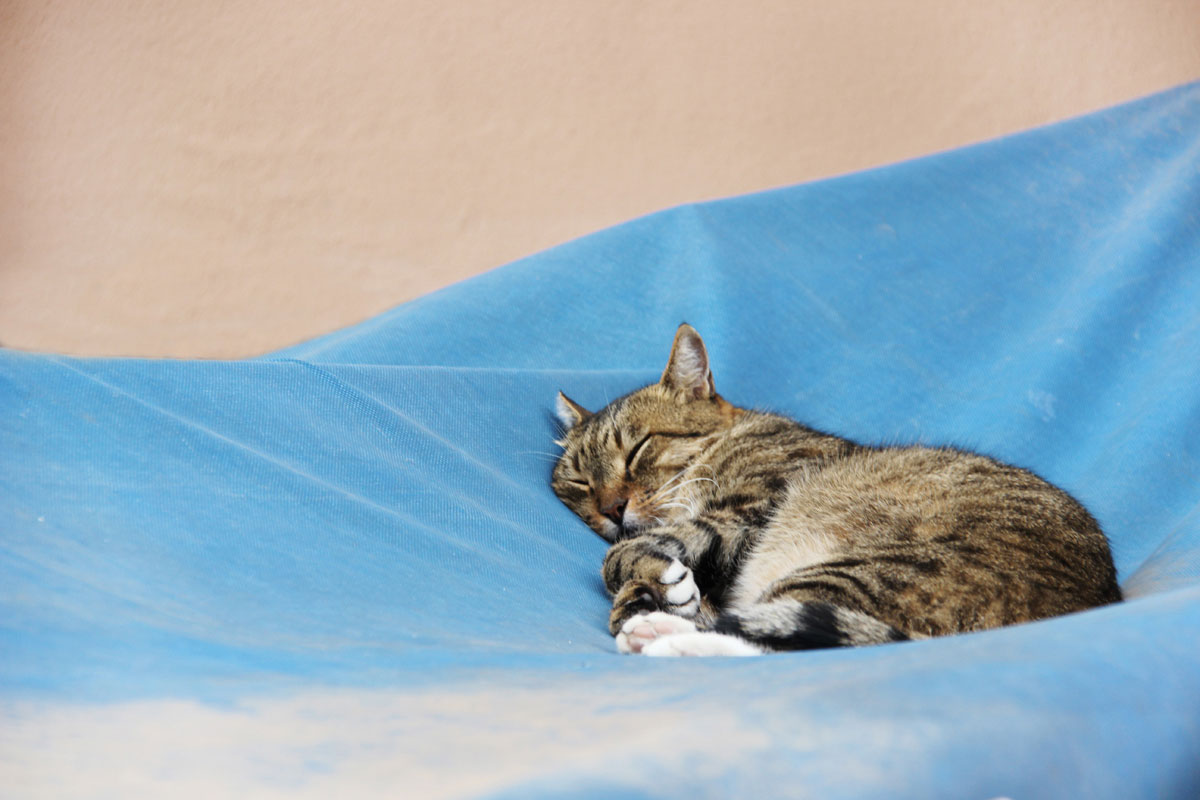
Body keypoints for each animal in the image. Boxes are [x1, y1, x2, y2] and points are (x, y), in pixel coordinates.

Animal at [549, 326, 1118, 657]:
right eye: (579, 481)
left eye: (637, 449)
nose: (611, 508)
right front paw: (649, 594)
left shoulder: (747, 510)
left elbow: (623, 557)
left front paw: (653, 587)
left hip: (861, 569)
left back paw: (664, 639)